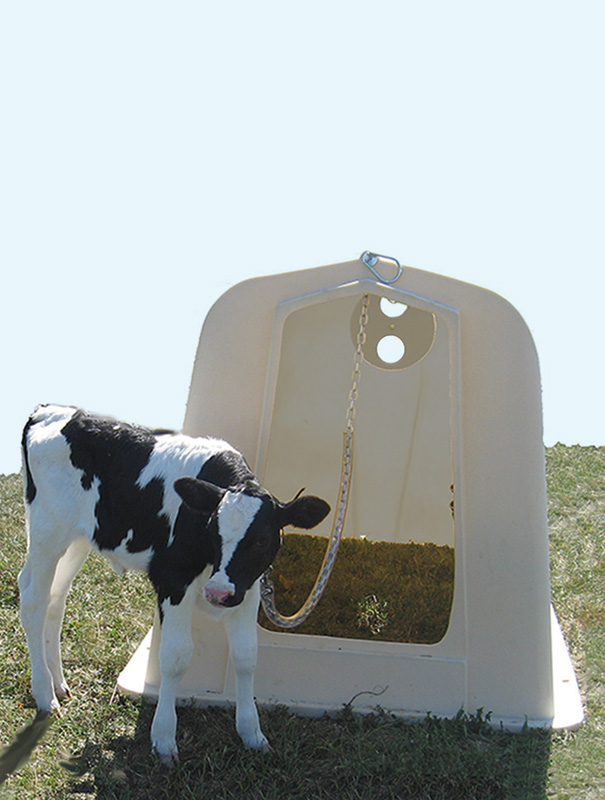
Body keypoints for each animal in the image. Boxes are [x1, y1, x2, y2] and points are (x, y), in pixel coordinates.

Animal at [19, 404, 330, 764]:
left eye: (262, 540)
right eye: (212, 530)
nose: (217, 593)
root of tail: (50, 410)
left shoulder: (248, 587)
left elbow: (246, 656)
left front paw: (252, 733)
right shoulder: (173, 580)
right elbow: (176, 656)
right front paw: (164, 738)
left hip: (78, 538)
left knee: (55, 599)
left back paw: (58, 683)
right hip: (47, 531)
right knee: (33, 599)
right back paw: (45, 695)